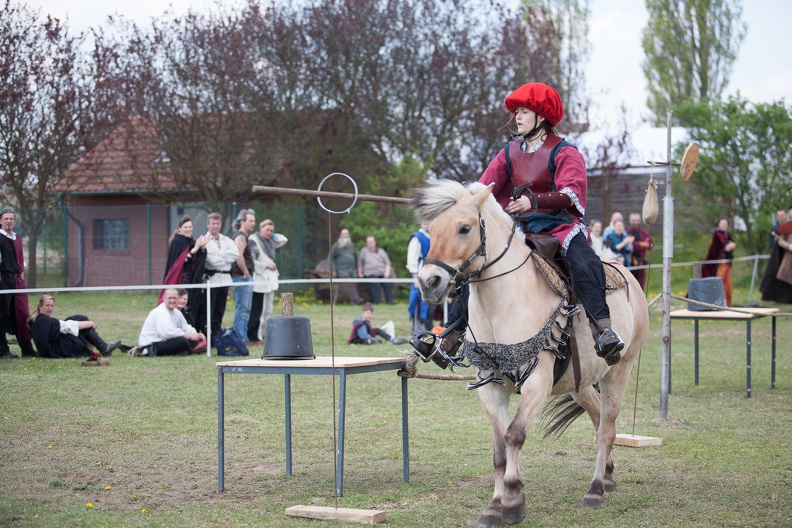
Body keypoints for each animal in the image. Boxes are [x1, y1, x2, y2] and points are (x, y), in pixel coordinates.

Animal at [412, 180, 648, 524]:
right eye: (430, 230)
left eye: (464, 228)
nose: (429, 282)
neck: (503, 304)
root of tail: (628, 274)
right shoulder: (491, 385)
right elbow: (499, 448)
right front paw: (494, 506)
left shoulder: (537, 382)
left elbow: (514, 435)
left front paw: (512, 500)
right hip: (581, 382)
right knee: (598, 419)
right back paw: (607, 474)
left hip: (619, 369)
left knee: (607, 429)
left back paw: (595, 489)